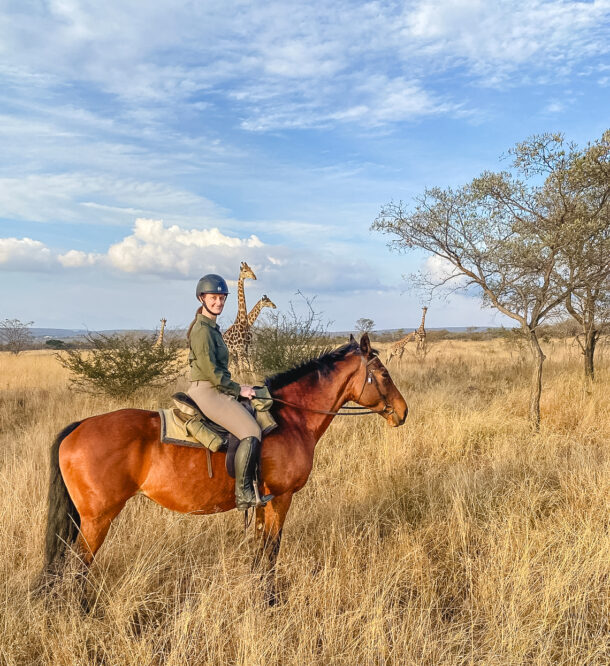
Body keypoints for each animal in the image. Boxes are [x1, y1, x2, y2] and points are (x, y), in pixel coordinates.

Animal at [41, 333, 408, 596]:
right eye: (383, 373)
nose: (403, 412)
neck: (290, 418)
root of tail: (79, 427)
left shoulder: (262, 501)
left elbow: (260, 551)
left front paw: (259, 593)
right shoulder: (282, 498)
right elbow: (272, 550)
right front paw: (270, 599)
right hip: (97, 520)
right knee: (77, 567)